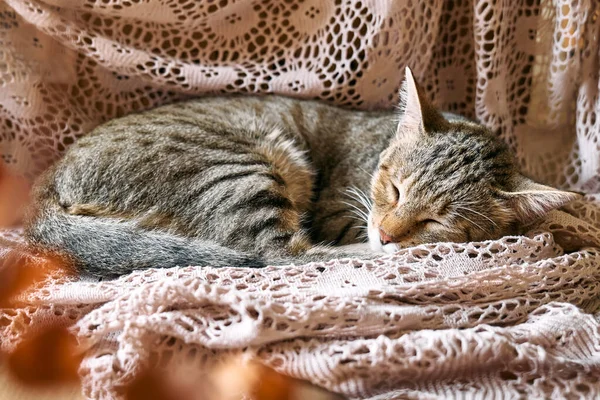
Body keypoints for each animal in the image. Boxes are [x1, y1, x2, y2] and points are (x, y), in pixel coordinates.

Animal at [24, 68, 580, 278]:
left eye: (436, 220)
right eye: (395, 189)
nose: (387, 234)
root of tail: (46, 188)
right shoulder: (340, 206)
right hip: (240, 167)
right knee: (279, 254)